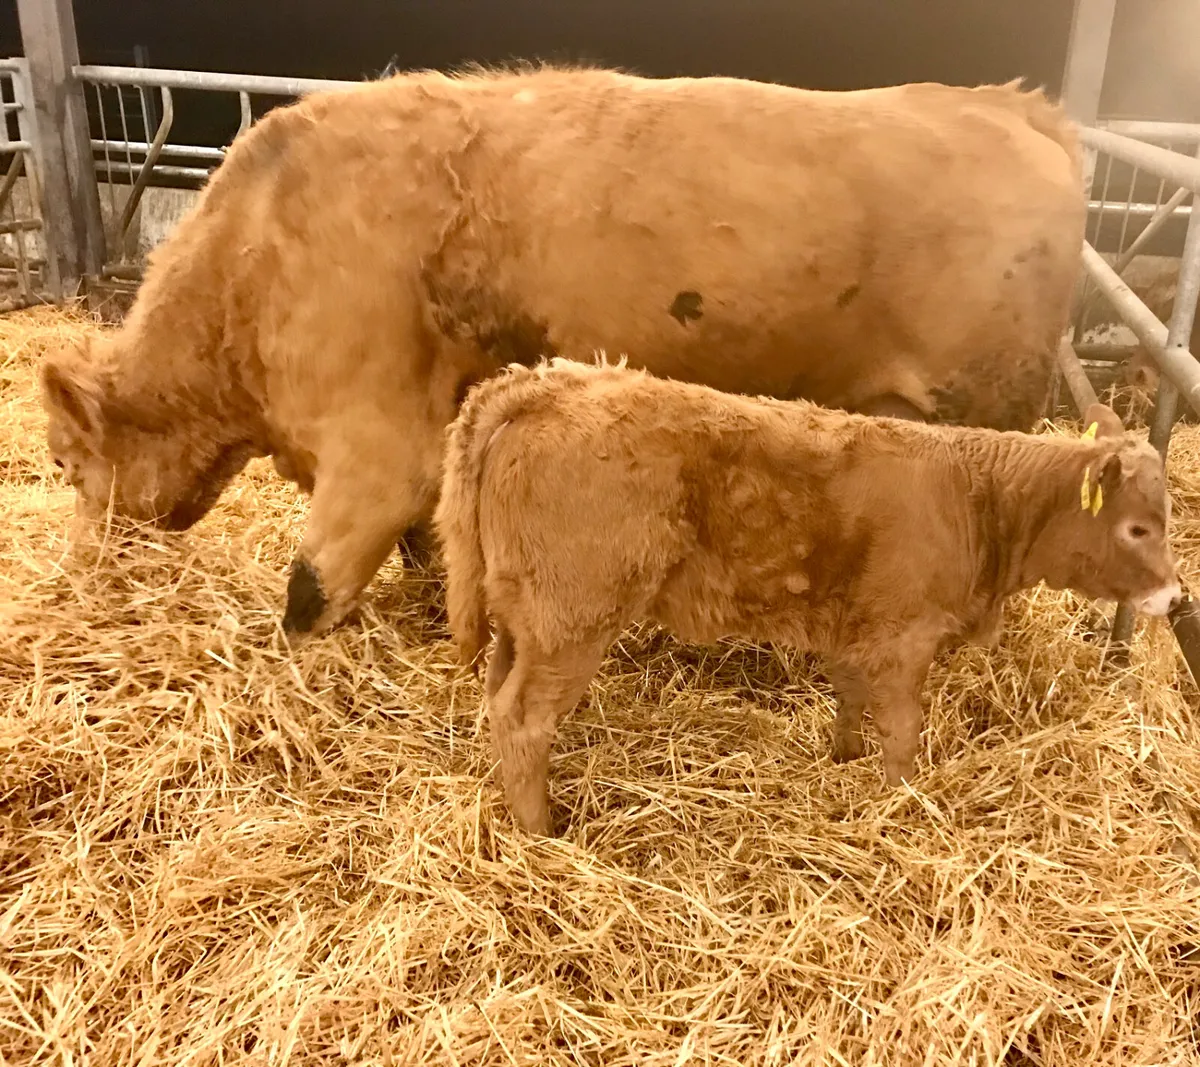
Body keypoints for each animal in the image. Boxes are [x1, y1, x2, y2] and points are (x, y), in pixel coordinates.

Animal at [40, 65, 1086, 636]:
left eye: (67, 464)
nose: (79, 578)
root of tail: (1010, 105)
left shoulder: (373, 443)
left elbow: (308, 595)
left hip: (991, 409)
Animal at [433, 359, 1180, 836]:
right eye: (1138, 528)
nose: (1175, 597)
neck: (979, 496)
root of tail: (547, 381)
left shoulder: (858, 623)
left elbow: (849, 693)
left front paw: (843, 757)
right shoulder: (905, 636)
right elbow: (903, 731)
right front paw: (900, 803)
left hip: (524, 615)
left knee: (498, 693)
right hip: (572, 615)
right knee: (524, 717)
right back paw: (541, 832)